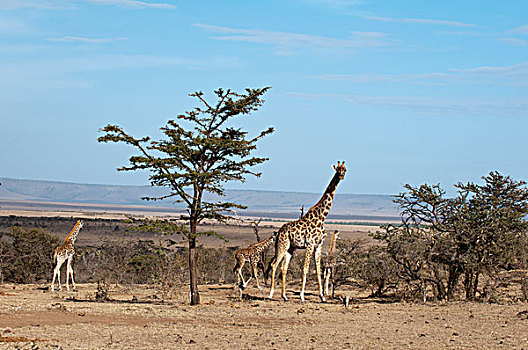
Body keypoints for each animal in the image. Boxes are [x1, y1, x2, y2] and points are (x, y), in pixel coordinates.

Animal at [268, 161, 346, 300]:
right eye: (337, 170)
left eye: (345, 170)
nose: (341, 176)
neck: (321, 217)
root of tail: (279, 232)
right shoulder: (310, 244)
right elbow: (305, 269)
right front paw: (302, 296)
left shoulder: (319, 245)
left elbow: (319, 270)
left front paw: (322, 297)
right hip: (282, 245)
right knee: (274, 264)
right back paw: (270, 294)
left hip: (290, 248)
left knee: (283, 267)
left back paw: (284, 296)